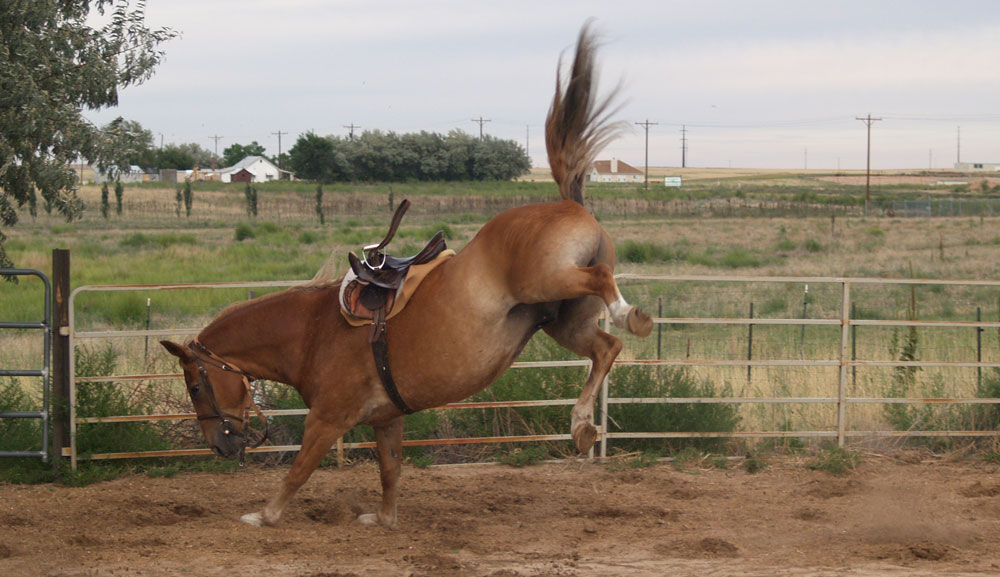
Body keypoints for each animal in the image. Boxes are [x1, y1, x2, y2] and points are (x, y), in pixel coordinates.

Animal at [160, 25, 652, 528]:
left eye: (195, 385)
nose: (218, 447)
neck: (310, 331)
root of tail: (567, 203)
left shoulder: (327, 418)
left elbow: (298, 471)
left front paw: (265, 516)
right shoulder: (386, 418)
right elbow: (390, 470)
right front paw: (383, 519)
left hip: (548, 281)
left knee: (602, 280)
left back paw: (630, 316)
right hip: (562, 322)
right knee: (605, 348)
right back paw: (582, 424)